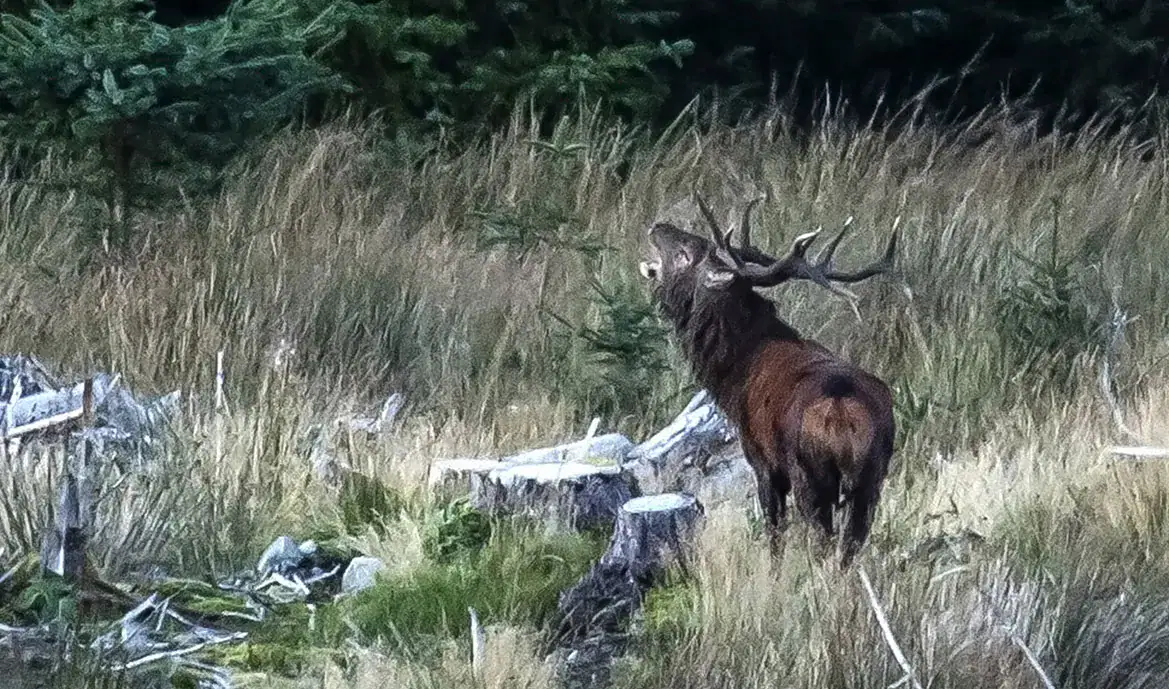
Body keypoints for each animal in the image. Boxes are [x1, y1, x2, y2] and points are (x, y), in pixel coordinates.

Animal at [637, 193, 899, 567]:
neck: (734, 374)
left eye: (686, 252)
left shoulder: (761, 461)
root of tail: (842, 412)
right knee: (851, 542)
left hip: (810, 474)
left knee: (821, 537)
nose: (659, 226)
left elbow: (774, 533)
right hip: (873, 475)